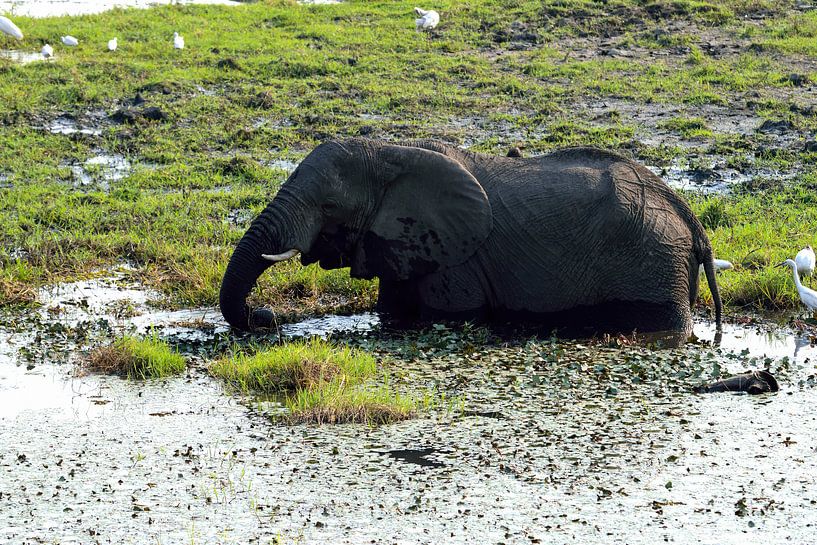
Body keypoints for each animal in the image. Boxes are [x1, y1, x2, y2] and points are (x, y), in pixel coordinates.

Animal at [219, 138, 722, 336]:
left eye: (328, 207)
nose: (266, 316)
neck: (390, 151)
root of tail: (690, 220)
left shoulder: (457, 260)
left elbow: (450, 315)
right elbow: (393, 310)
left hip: (653, 262)